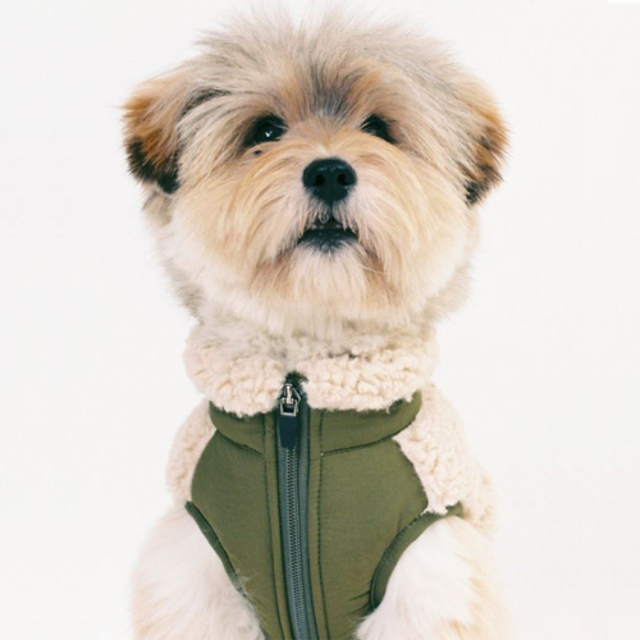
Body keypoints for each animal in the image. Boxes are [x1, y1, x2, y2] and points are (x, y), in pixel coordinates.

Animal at [123, 9, 508, 640]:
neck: (298, 399)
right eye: (265, 132)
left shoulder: (429, 577)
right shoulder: (196, 578)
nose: (329, 171)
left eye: (378, 128)